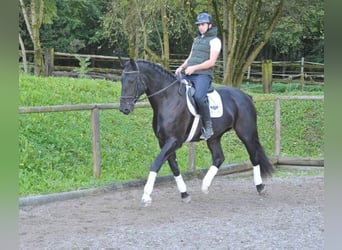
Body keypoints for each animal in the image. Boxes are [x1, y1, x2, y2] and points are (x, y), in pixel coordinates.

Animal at [119, 59, 274, 207]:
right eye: (121, 80)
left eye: (132, 80)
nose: (124, 109)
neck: (168, 99)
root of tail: (246, 95)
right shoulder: (163, 142)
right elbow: (174, 167)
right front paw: (185, 194)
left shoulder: (174, 141)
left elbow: (156, 163)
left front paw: (146, 196)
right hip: (214, 137)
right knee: (219, 158)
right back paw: (205, 186)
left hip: (246, 134)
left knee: (254, 156)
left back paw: (260, 187)